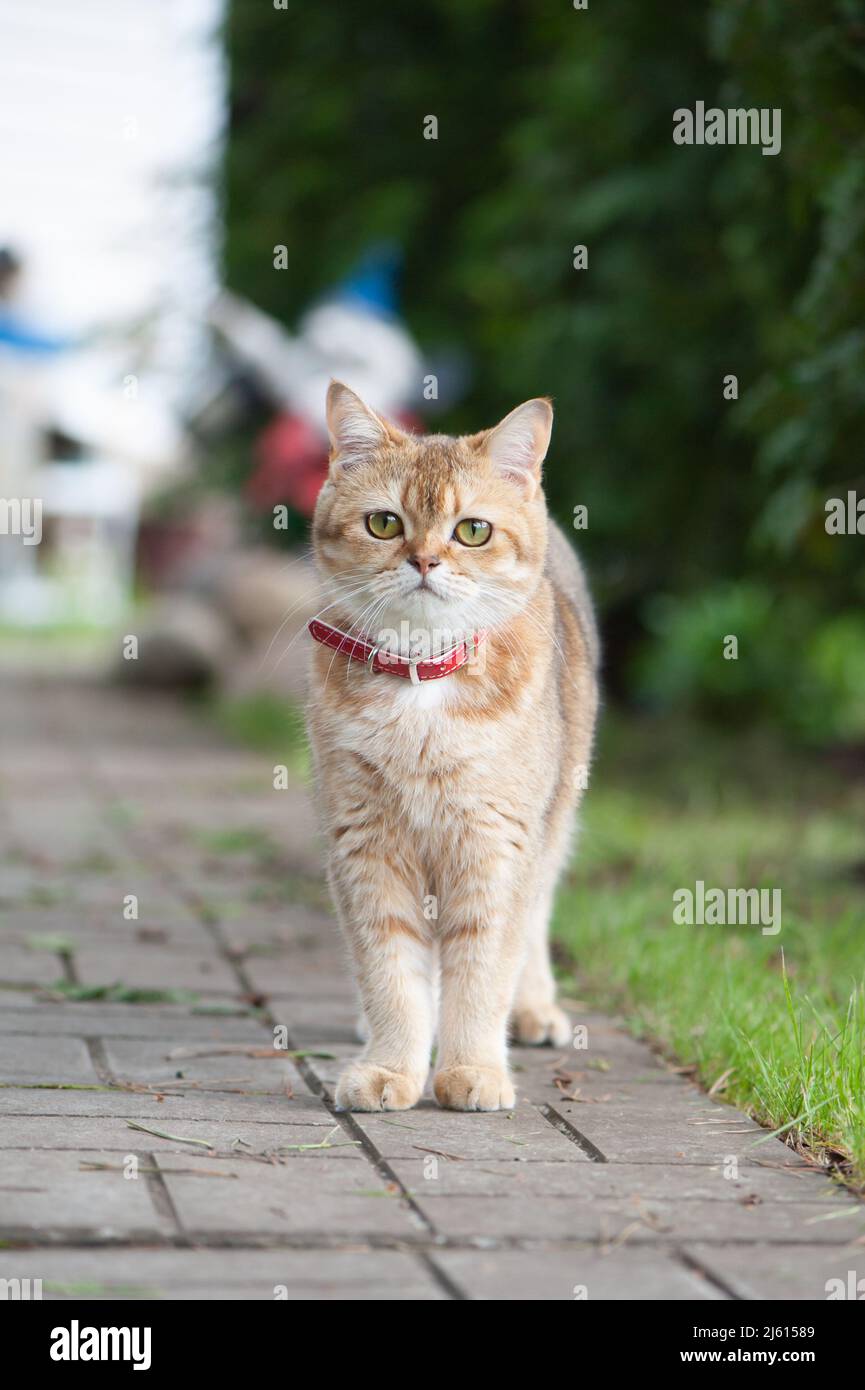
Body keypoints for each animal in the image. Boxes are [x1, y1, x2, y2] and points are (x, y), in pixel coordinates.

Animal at [308, 378, 600, 1106]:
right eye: (384, 524)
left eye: (472, 531)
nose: (424, 560)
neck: (422, 686)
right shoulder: (367, 846)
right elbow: (391, 973)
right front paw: (392, 1066)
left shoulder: (497, 844)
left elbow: (482, 970)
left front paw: (472, 1068)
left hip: (555, 820)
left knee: (535, 920)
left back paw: (534, 1009)